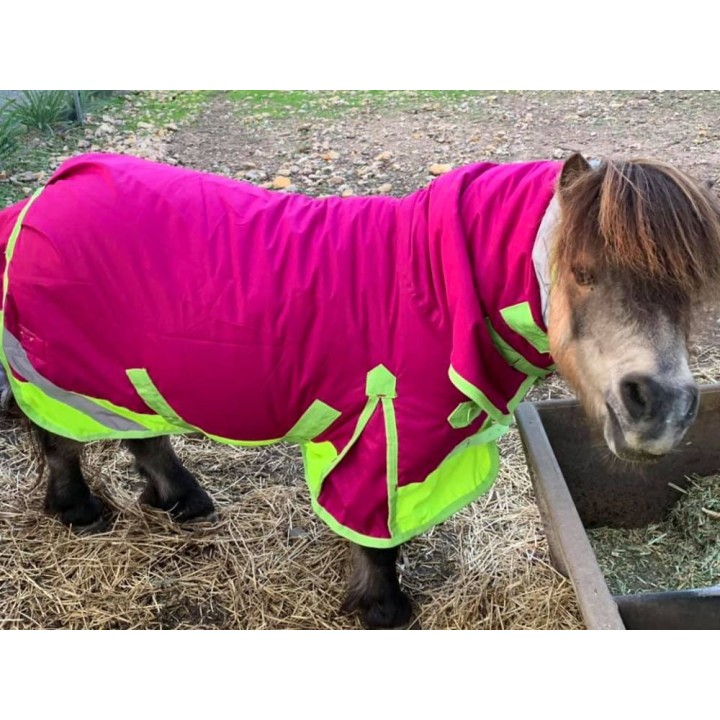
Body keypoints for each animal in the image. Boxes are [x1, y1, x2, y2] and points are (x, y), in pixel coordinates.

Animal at [0, 151, 719, 629]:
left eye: (689, 289)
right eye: (583, 271)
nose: (662, 409)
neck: (433, 291)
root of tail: (38, 199)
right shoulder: (386, 437)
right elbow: (377, 535)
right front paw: (384, 609)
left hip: (120, 379)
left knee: (140, 435)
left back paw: (183, 501)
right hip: (66, 374)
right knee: (61, 440)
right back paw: (80, 510)